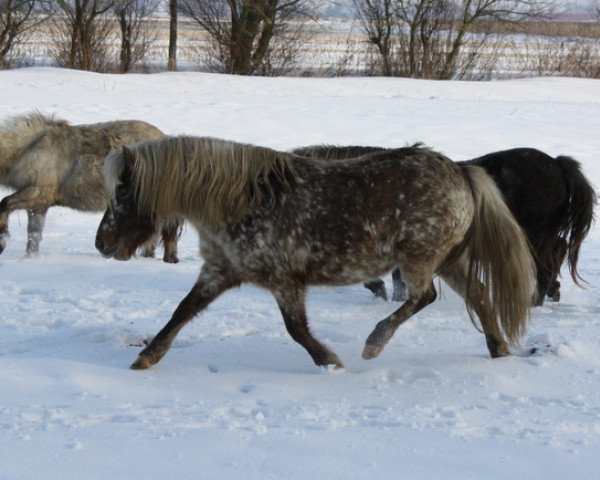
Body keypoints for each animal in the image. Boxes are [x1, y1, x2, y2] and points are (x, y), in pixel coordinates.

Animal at [0, 111, 179, 262]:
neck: (27, 149)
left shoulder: (39, 193)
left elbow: (5, 203)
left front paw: (2, 241)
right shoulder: (39, 205)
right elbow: (34, 235)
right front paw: (31, 258)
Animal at [96, 137, 536, 370]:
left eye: (122, 191)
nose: (102, 243)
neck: (240, 201)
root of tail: (461, 170)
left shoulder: (285, 281)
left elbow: (298, 330)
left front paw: (332, 363)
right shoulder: (218, 272)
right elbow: (181, 312)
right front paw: (146, 358)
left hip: (420, 259)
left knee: (422, 297)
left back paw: (374, 343)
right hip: (449, 261)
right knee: (479, 295)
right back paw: (497, 349)